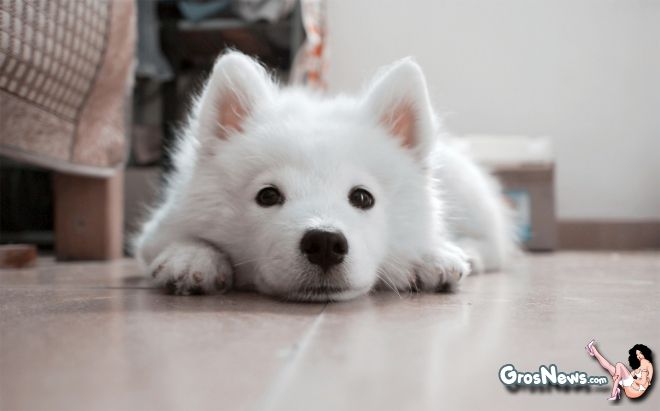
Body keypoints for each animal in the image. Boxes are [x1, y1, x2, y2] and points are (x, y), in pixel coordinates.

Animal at [134, 51, 515, 301]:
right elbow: (182, 240)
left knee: (495, 243)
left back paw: (468, 253)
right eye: (267, 195)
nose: (325, 244)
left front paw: (428, 255)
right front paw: (192, 258)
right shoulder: (158, 229)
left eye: (362, 197)